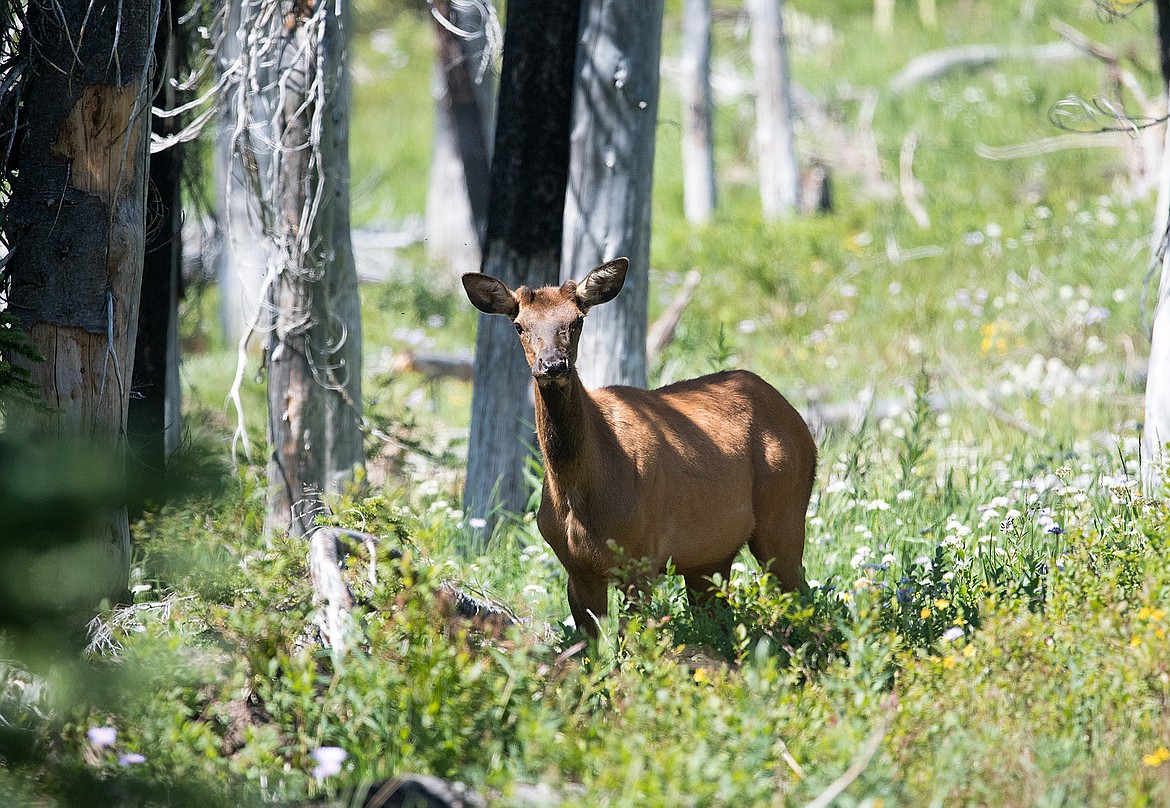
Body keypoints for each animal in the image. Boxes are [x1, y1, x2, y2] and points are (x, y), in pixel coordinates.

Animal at [460, 256, 819, 636]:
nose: (553, 364)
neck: (579, 491)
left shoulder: (641, 557)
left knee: (802, 600)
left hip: (784, 515)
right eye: (519, 325)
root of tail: (800, 422)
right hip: (710, 555)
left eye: (577, 320)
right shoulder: (576, 570)